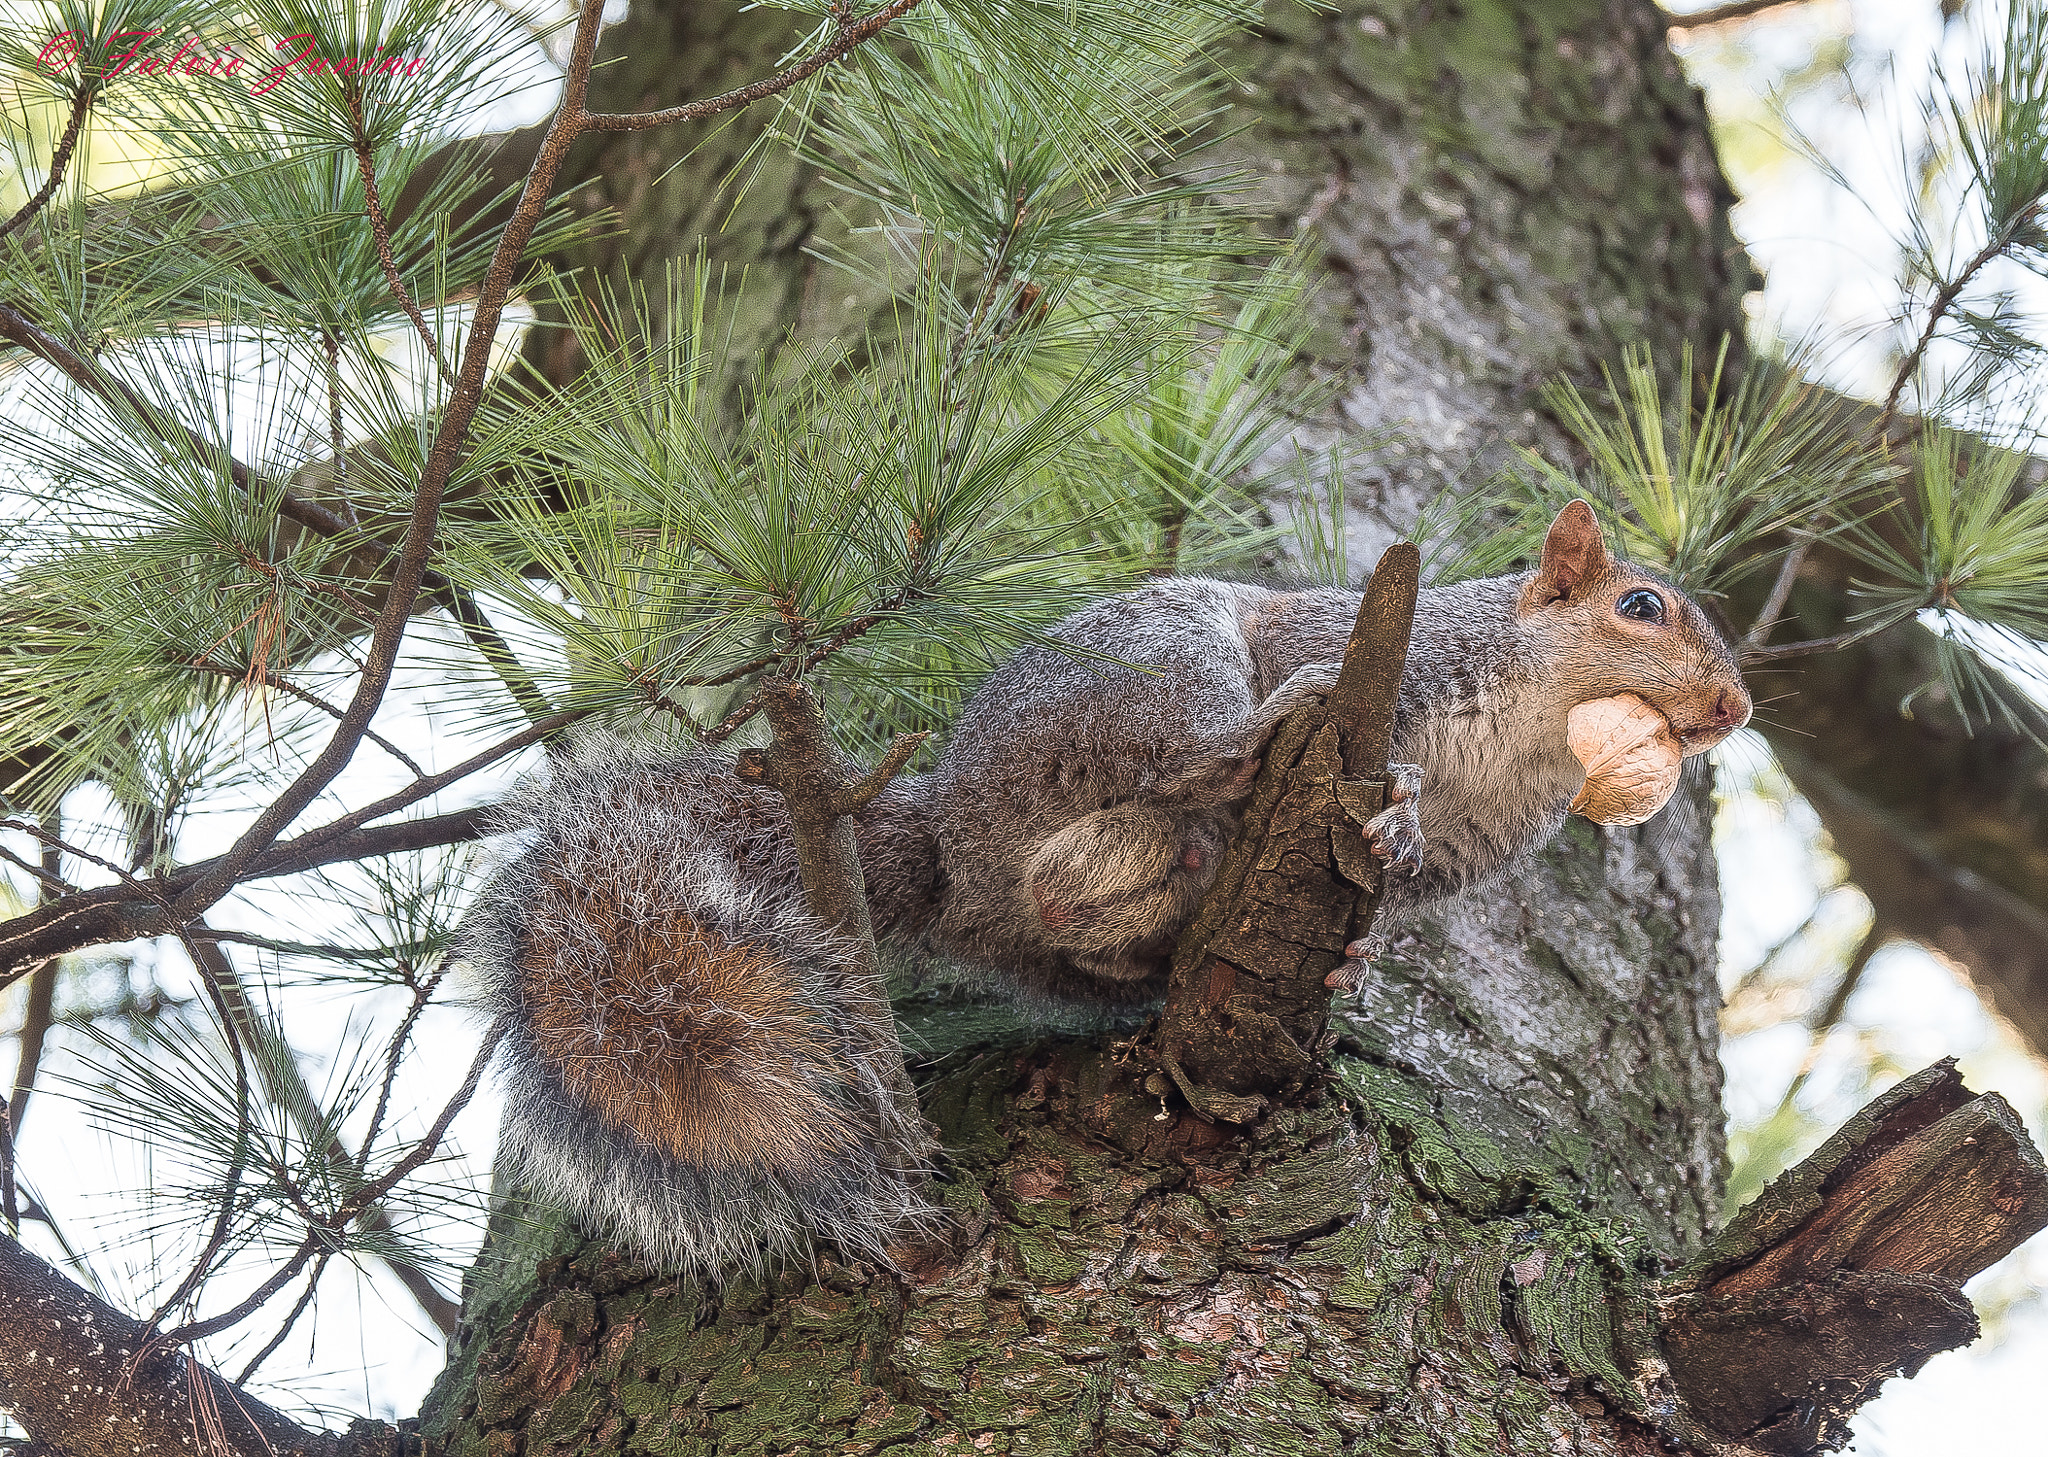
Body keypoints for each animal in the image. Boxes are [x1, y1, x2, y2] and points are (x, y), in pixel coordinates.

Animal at [460, 504, 1744, 1278]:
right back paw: (1243, 748)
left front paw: (1358, 947)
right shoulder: (1376, 651)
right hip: (1151, 668)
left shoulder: (1487, 845)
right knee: (1179, 757)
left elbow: (1403, 887)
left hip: (1078, 892)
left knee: (1084, 919)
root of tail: (952, 831)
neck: (1533, 742)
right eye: (1637, 607)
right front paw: (1396, 790)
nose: (1732, 709)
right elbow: (1339, 694)